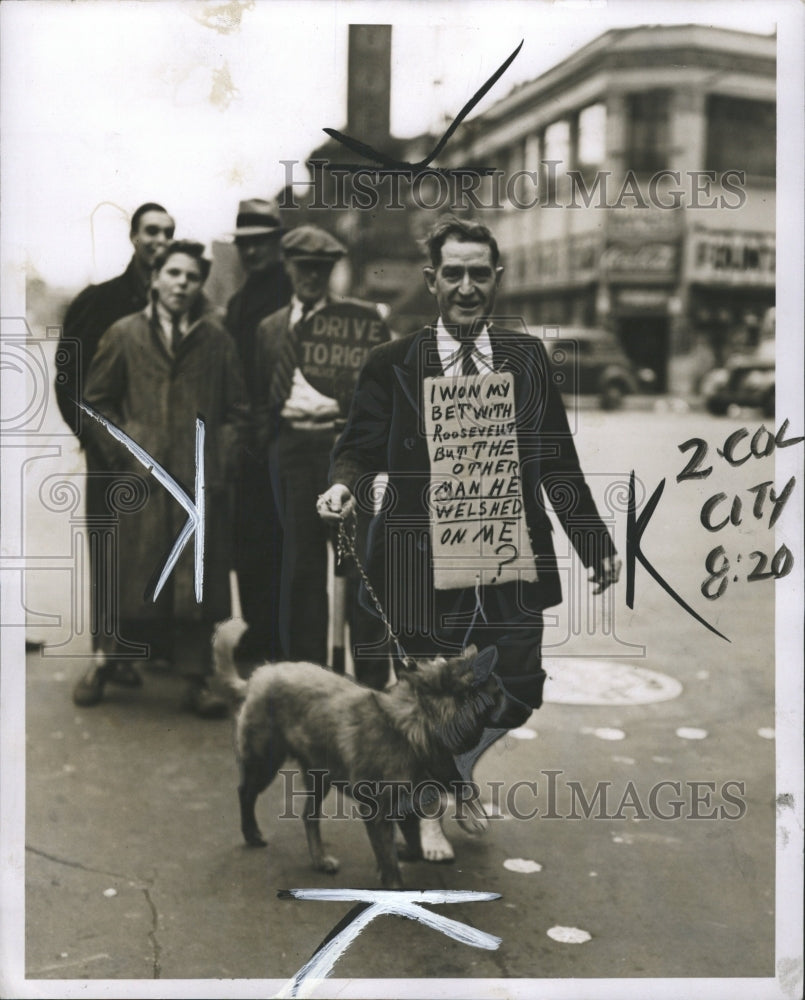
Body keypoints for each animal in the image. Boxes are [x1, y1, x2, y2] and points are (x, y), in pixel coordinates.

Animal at [210, 616, 506, 892]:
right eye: (496, 693)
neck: (412, 728)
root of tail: (257, 678)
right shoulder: (376, 812)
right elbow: (388, 859)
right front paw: (393, 886)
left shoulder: (405, 807)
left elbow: (412, 845)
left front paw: (404, 852)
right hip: (264, 763)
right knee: (245, 793)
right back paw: (252, 833)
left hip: (320, 777)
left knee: (308, 816)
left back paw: (320, 859)